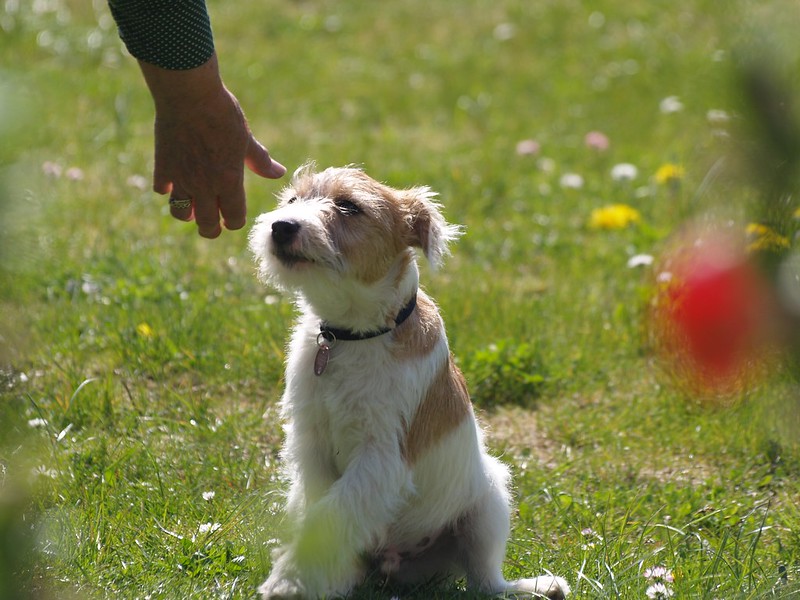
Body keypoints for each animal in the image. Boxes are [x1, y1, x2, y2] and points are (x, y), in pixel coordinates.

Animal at [250, 165, 568, 600]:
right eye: (292, 200)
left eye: (348, 206)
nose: (282, 227)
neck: (350, 337)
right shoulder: (311, 445)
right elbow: (320, 517)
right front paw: (308, 576)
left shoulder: (381, 456)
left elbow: (331, 515)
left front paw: (288, 581)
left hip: (489, 502)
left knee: (485, 581)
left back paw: (537, 586)